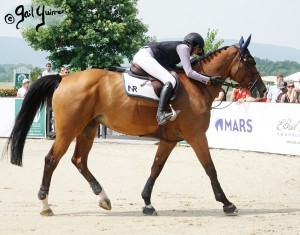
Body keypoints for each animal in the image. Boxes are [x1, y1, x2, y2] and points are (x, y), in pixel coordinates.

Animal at [4, 35, 266, 217]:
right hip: (69, 130)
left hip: (88, 129)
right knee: (51, 160)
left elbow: (155, 168)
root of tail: (64, 78)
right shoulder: (196, 136)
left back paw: (103, 198)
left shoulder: (170, 140)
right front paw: (227, 203)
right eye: (250, 61)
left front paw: (147, 203)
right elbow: (210, 168)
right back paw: (45, 205)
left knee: (79, 161)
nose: (262, 91)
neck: (197, 86)